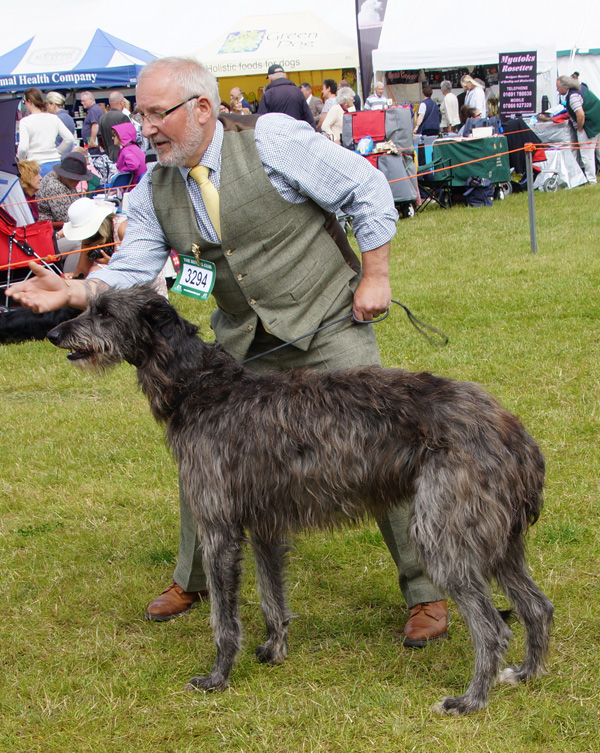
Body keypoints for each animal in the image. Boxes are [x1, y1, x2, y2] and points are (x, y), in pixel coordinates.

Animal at [47, 284, 552, 712]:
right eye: (90, 305)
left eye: (104, 312)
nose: (53, 333)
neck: (201, 387)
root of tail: (514, 431)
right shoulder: (265, 524)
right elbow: (272, 596)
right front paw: (274, 650)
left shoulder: (218, 527)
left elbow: (223, 619)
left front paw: (217, 678)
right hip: (497, 538)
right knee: (536, 606)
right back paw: (525, 673)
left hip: (443, 532)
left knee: (493, 628)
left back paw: (470, 700)